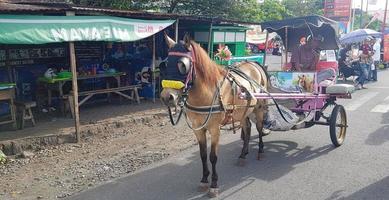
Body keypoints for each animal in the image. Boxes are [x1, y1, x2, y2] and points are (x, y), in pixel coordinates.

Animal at [160, 34, 266, 197]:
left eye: (183, 65)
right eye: (165, 64)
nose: (167, 97)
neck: (206, 94)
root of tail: (253, 64)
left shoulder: (215, 129)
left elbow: (213, 157)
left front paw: (214, 185)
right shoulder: (198, 129)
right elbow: (203, 155)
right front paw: (204, 180)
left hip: (259, 109)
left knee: (259, 128)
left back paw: (260, 151)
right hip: (243, 111)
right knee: (247, 127)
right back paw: (243, 155)